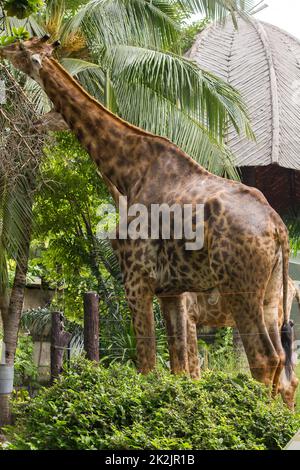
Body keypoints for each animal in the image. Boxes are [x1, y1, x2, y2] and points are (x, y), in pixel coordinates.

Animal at [1, 36, 294, 396]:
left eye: (19, 46)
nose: (2, 50)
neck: (129, 172)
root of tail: (278, 228)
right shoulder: (171, 291)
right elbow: (180, 370)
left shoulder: (136, 278)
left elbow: (147, 365)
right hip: (271, 293)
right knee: (283, 367)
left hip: (239, 287)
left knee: (264, 360)